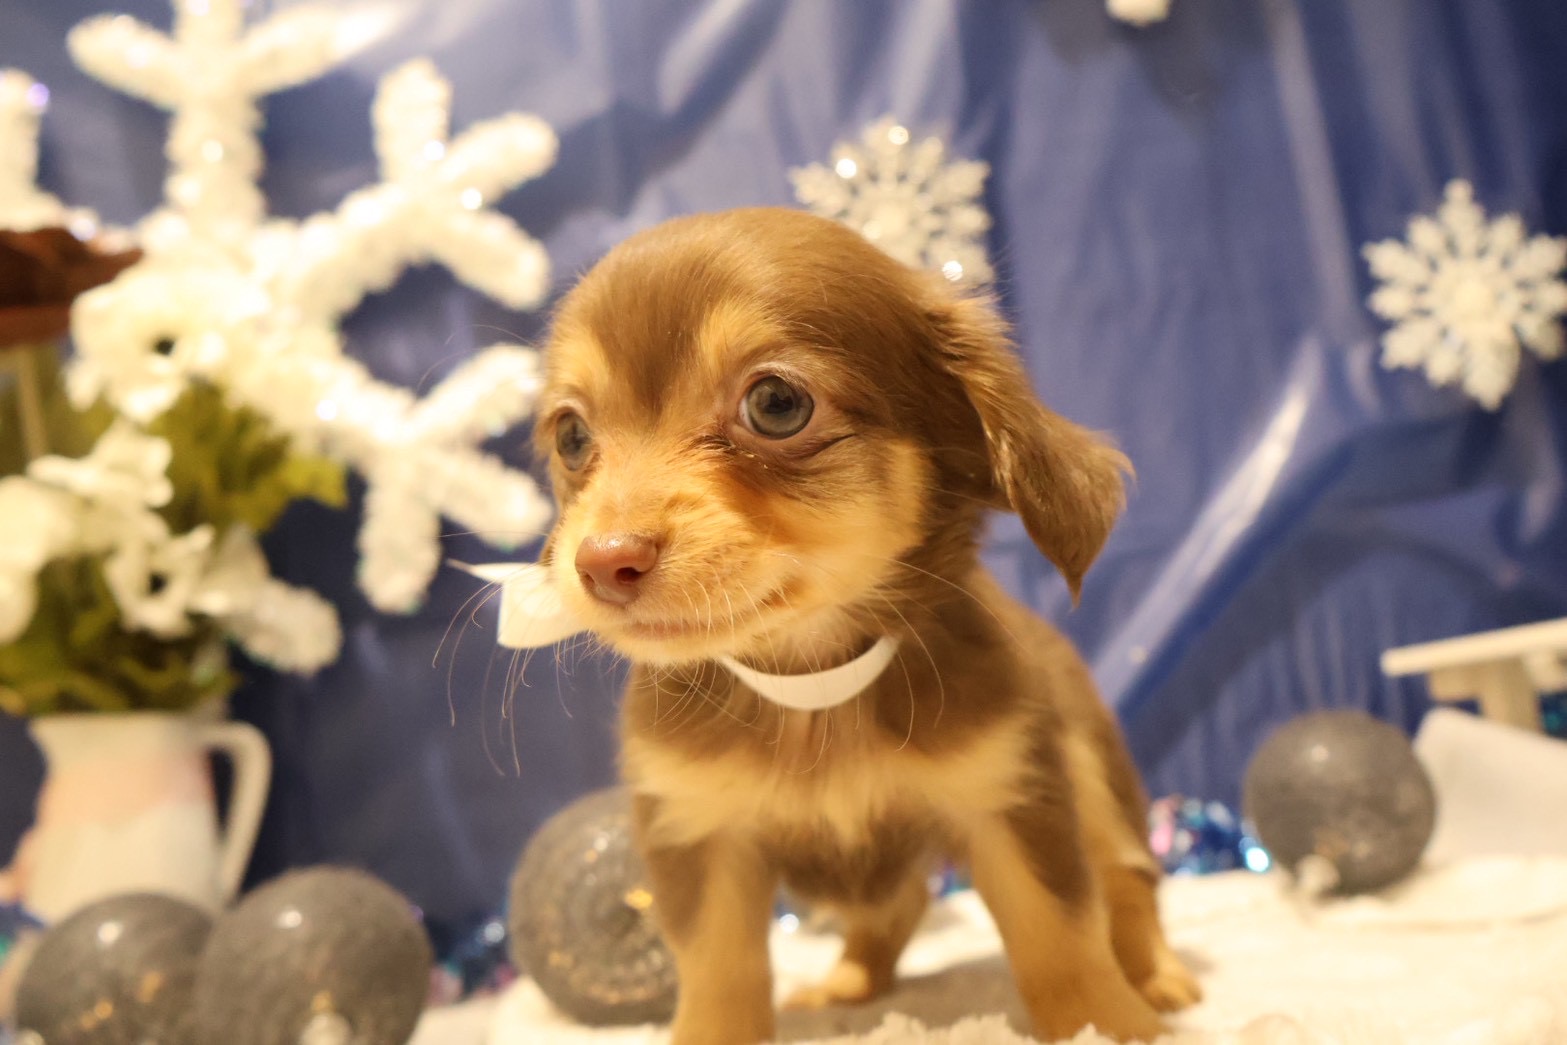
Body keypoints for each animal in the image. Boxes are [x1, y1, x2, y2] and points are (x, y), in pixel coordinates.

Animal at [533, 207, 1200, 1044]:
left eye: (776, 404)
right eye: (571, 437)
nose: (602, 561)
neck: (811, 686)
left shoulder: (1012, 794)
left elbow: (1059, 939)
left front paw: (1109, 1024)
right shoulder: (697, 832)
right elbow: (718, 972)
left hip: (1092, 768)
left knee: (1126, 880)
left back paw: (1157, 980)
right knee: (900, 902)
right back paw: (848, 982)